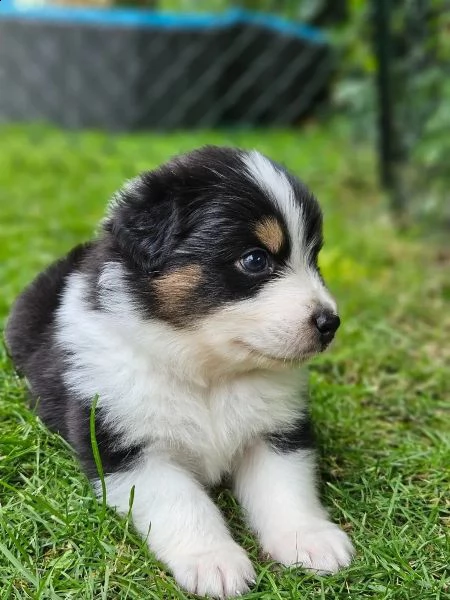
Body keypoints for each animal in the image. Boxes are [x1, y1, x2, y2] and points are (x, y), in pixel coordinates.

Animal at [5, 146, 354, 600]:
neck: (206, 374)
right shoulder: (128, 448)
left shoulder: (276, 432)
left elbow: (286, 488)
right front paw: (214, 562)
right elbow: (184, 503)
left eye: (314, 257)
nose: (330, 323)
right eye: (255, 260)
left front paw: (309, 539)